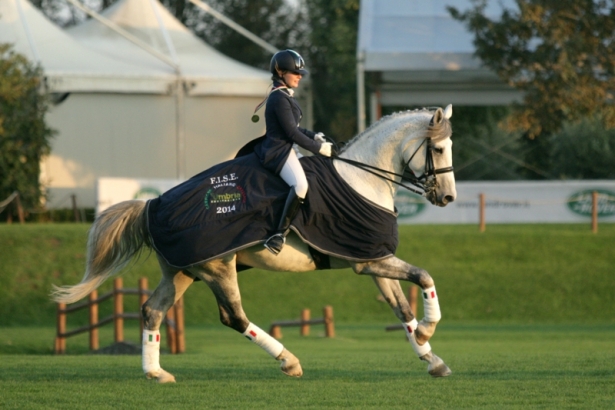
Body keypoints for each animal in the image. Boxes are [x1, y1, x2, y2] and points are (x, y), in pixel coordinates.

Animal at [51, 104, 458, 382]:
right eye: (438, 150)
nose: (448, 198)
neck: (361, 180)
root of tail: (155, 203)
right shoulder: (369, 261)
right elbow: (424, 277)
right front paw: (428, 330)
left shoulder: (373, 259)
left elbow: (401, 309)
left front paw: (432, 358)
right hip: (218, 267)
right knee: (233, 316)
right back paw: (288, 360)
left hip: (183, 271)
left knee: (153, 311)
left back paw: (156, 373)